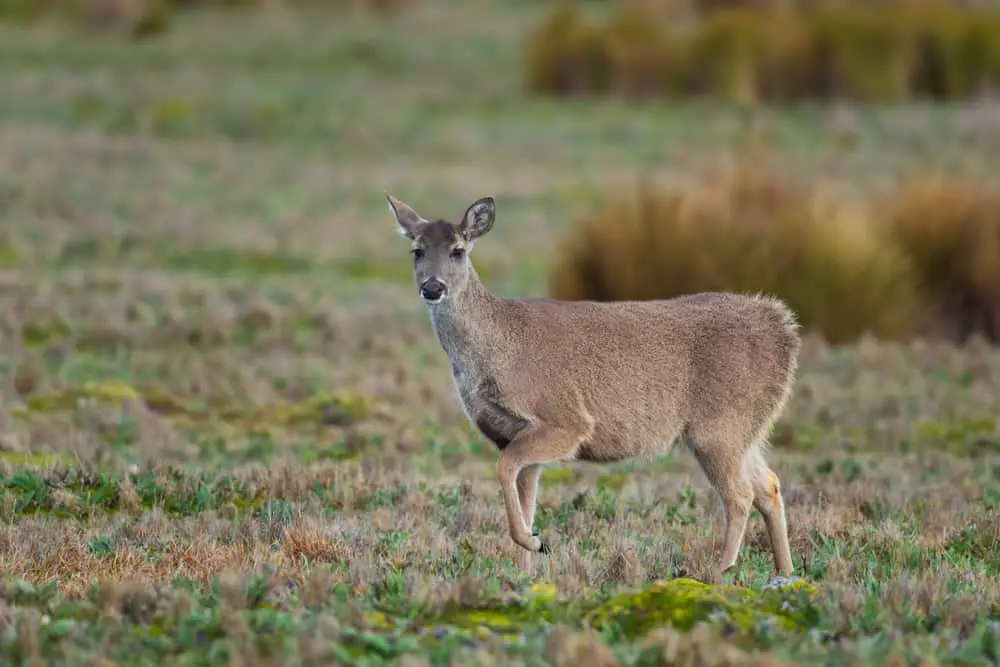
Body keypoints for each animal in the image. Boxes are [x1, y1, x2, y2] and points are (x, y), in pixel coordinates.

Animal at [386, 193, 800, 580]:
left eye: (458, 250)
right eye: (417, 250)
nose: (433, 287)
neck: (498, 346)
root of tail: (785, 330)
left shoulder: (565, 421)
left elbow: (505, 471)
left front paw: (534, 543)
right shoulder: (511, 434)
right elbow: (524, 495)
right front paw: (526, 566)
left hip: (718, 426)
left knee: (740, 495)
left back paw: (717, 572)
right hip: (744, 429)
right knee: (769, 485)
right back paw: (785, 573)